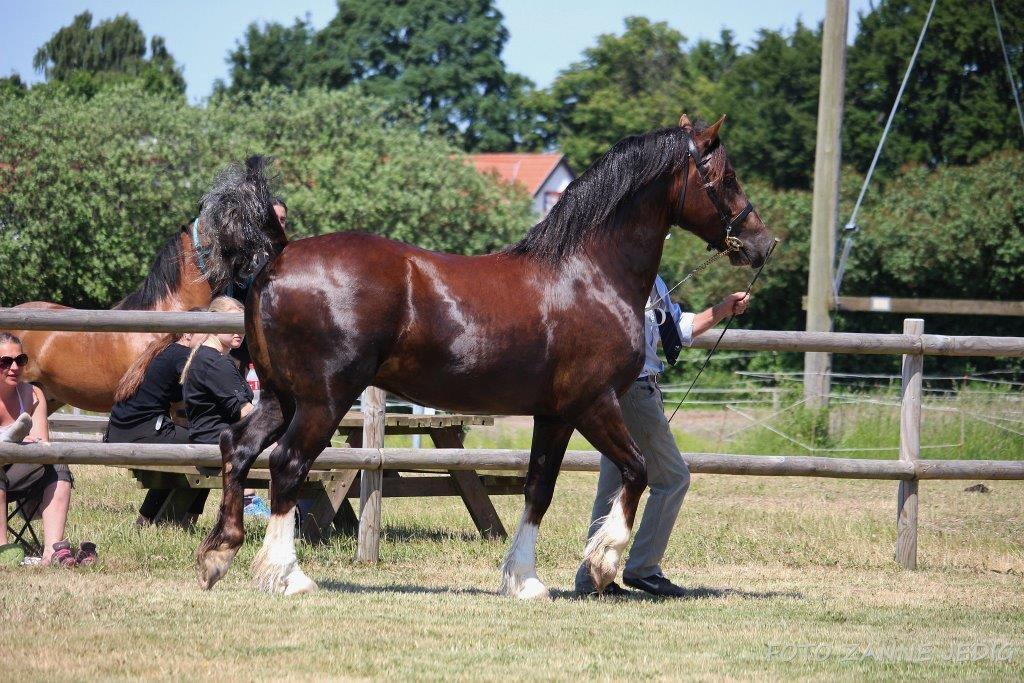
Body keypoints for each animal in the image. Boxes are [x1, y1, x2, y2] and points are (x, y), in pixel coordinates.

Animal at [195, 113, 774, 598]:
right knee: (287, 464)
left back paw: (218, 556)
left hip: (280, 396)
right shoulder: (594, 403)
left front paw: (525, 579)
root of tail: (279, 254)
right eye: (725, 178)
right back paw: (287, 575)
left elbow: (539, 488)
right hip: (323, 401)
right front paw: (602, 564)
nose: (762, 243)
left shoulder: (554, 415)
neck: (588, 274)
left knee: (238, 449)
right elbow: (636, 470)